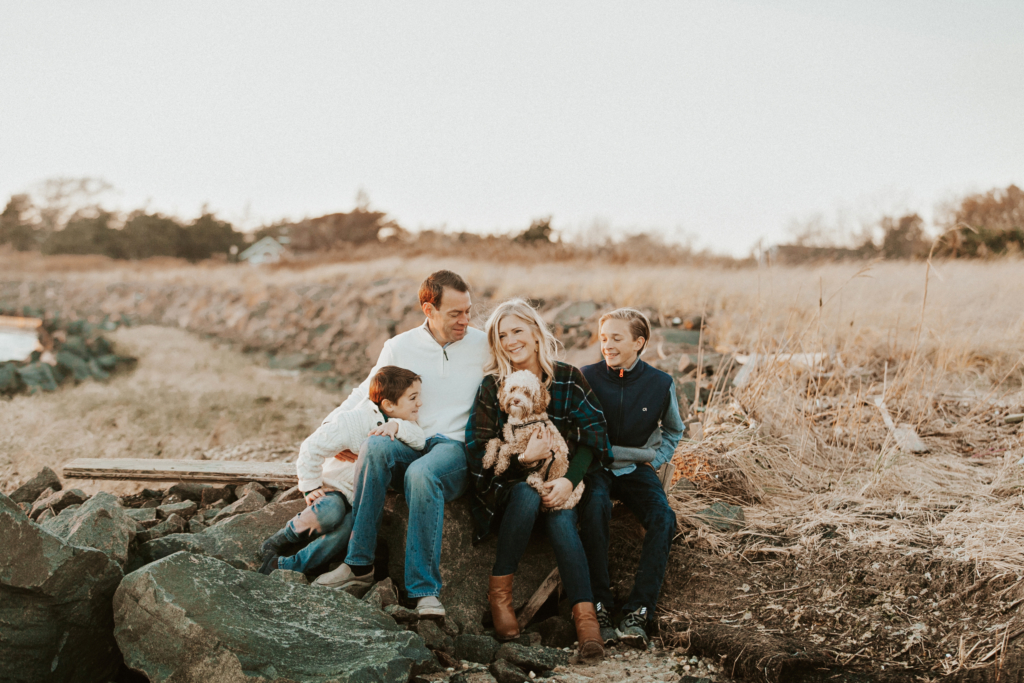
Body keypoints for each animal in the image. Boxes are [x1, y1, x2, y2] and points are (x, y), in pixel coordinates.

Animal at [481, 370, 585, 509]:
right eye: (513, 389)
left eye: (526, 392)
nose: (516, 400)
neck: (521, 420)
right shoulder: (511, 440)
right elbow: (495, 441)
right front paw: (488, 459)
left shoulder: (525, 445)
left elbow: (504, 448)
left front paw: (500, 466)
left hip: (554, 474)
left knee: (546, 491)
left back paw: (535, 481)